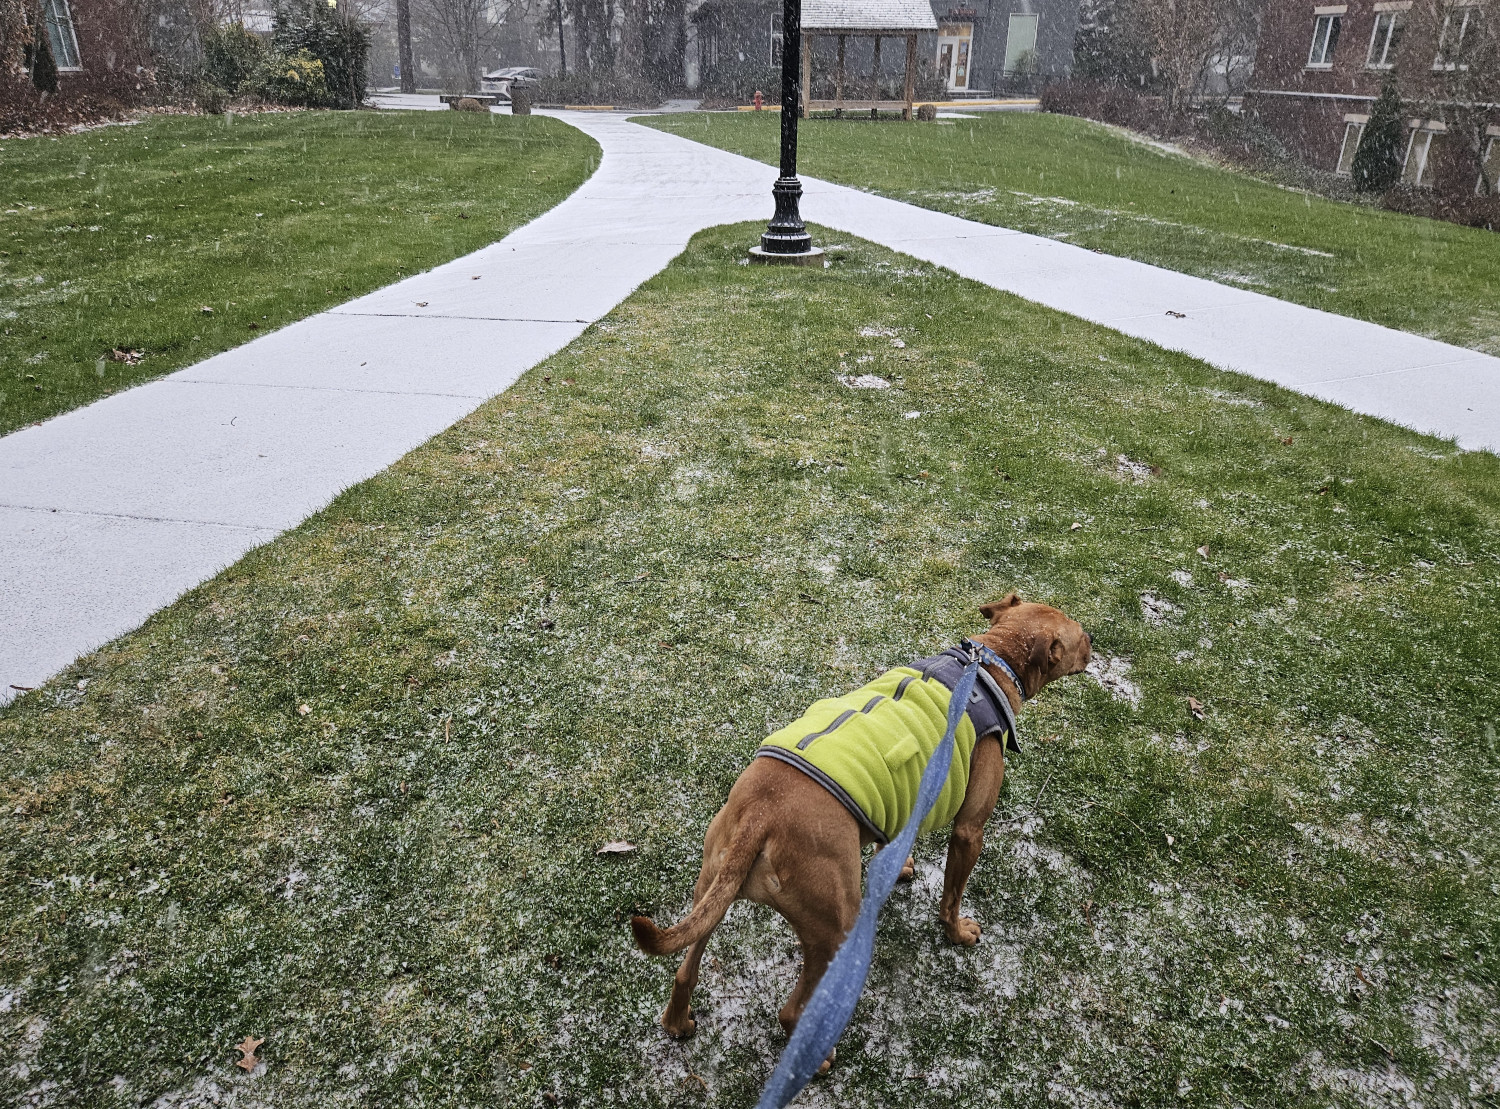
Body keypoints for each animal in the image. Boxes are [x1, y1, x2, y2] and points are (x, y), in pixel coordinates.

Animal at [630, 591, 1092, 1050]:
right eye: (1080, 636)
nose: (1094, 644)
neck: (990, 663)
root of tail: (760, 816)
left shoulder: (899, 801)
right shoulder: (969, 832)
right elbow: (951, 897)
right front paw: (958, 933)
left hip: (709, 891)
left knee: (684, 971)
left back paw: (677, 1022)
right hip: (834, 927)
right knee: (792, 1011)